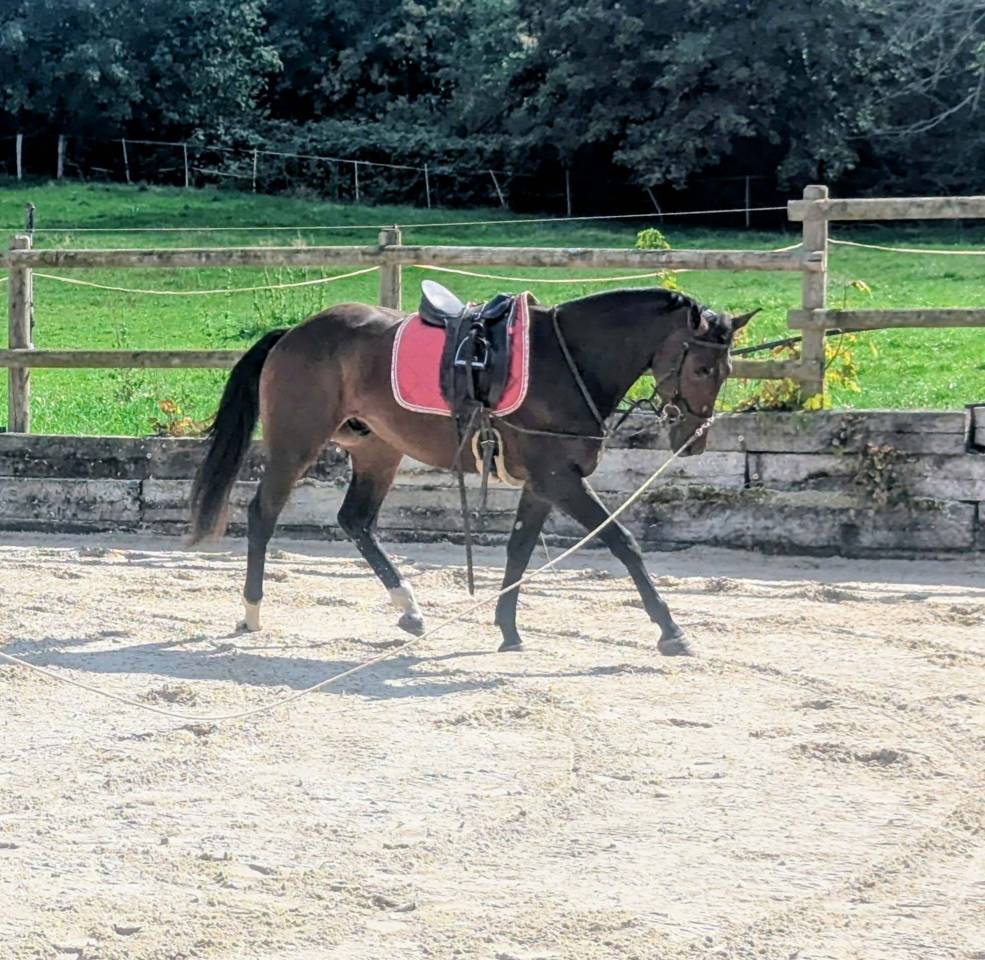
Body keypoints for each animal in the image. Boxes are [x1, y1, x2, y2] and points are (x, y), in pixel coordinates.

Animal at [188, 286, 755, 655]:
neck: (565, 361)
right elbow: (624, 543)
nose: (696, 442)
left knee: (356, 521)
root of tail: (294, 333)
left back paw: (409, 608)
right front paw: (671, 631)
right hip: (295, 444)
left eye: (727, 371)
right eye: (702, 367)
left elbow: (520, 549)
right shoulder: (560, 480)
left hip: (378, 451)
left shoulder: (544, 484)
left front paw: (508, 629)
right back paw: (252, 611)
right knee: (263, 514)